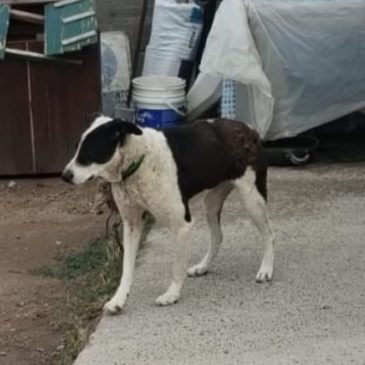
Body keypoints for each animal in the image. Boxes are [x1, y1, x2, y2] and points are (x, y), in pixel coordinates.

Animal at [61, 114, 272, 312]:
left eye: (90, 152)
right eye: (77, 148)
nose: (64, 176)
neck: (140, 159)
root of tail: (248, 128)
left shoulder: (182, 226)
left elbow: (177, 267)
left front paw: (172, 294)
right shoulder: (131, 225)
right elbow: (126, 268)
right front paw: (118, 299)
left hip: (252, 199)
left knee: (269, 234)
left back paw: (266, 269)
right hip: (211, 203)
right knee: (218, 236)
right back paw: (203, 266)